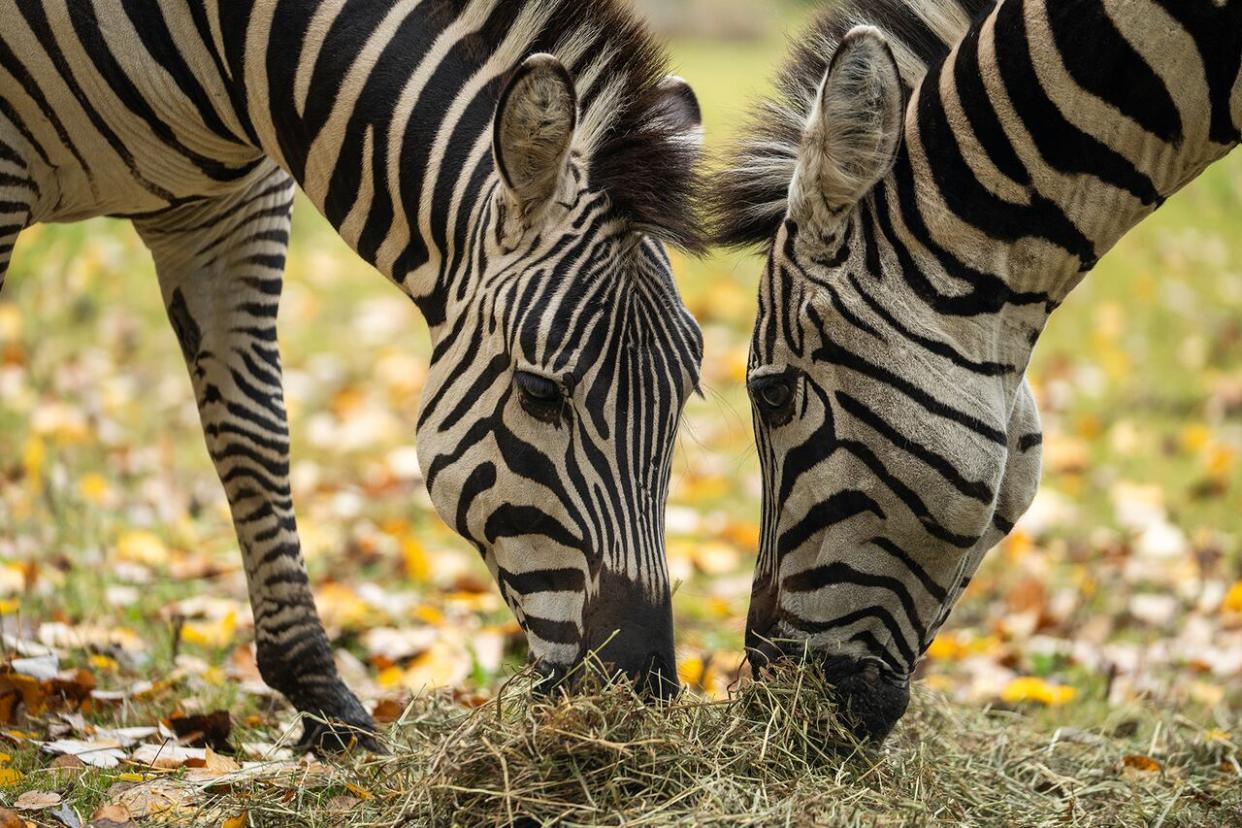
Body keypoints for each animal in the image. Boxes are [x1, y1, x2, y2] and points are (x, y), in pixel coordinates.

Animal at [0, 0, 710, 749]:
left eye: (684, 395)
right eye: (539, 392)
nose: (642, 686)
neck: (224, 47)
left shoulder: (230, 208)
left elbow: (253, 436)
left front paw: (321, 699)